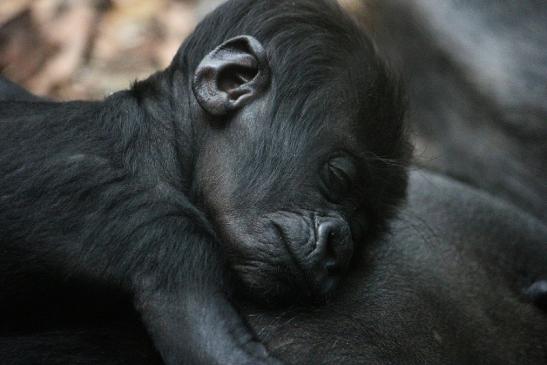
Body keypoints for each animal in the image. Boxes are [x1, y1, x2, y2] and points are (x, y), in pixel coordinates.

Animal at [0, 0, 412, 364]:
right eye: (338, 177)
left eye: (360, 230)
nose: (338, 246)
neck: (154, 143)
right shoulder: (158, 227)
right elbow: (216, 351)